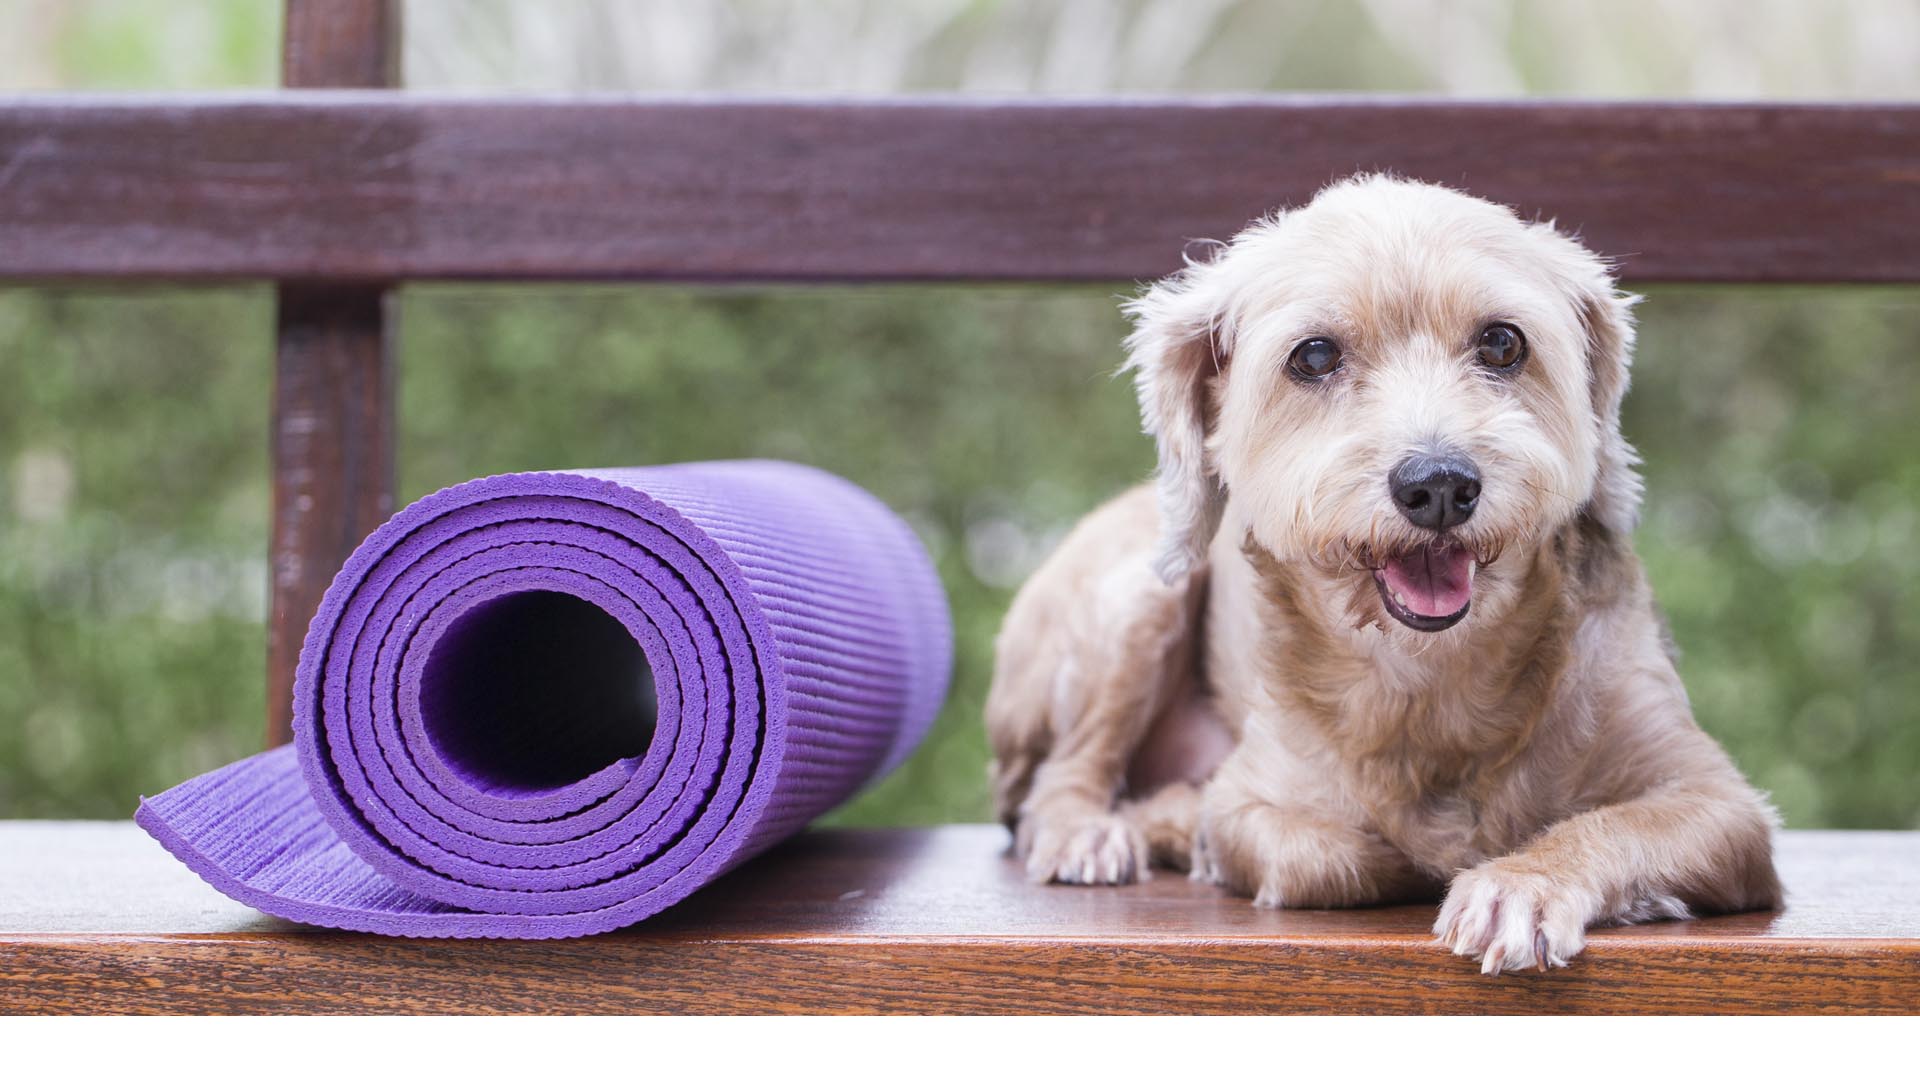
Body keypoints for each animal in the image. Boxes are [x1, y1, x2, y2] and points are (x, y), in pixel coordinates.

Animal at [990, 174, 1781, 968]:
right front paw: (1205, 834)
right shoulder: (1251, 798)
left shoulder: (1722, 804)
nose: (1439, 485)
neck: (1432, 675)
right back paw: (1100, 831)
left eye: (1502, 342)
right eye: (1313, 356)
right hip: (1142, 600)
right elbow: (1331, 854)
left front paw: (1521, 882)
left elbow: (1612, 824)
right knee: (1057, 784)